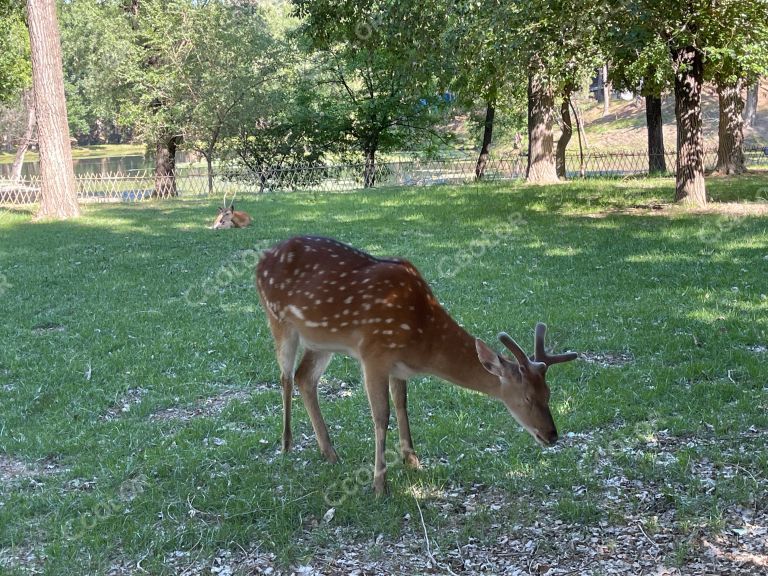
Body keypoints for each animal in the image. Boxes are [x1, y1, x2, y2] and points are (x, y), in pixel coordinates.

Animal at [256, 235, 576, 496]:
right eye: (527, 398)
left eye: (549, 394)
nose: (552, 435)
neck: (421, 338)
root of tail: (261, 258)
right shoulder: (374, 353)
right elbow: (381, 416)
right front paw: (379, 484)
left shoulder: (397, 366)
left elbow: (402, 404)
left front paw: (412, 460)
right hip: (278, 318)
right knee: (286, 377)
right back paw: (286, 444)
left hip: (321, 340)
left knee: (305, 377)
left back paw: (330, 452)